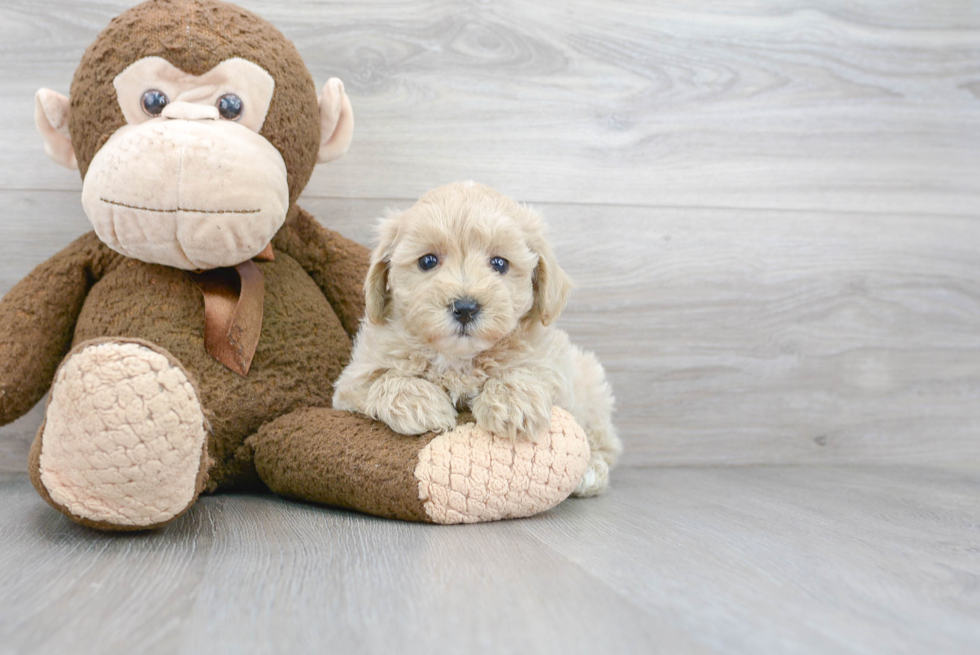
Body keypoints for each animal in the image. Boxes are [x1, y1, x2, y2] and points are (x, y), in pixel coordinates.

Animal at [332, 182, 620, 494]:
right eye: (428, 261)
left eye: (500, 264)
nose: (465, 307)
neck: (459, 358)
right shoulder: (352, 381)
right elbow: (383, 380)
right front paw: (422, 405)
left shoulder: (555, 367)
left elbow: (530, 372)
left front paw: (512, 403)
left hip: (592, 388)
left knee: (604, 441)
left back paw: (592, 470)